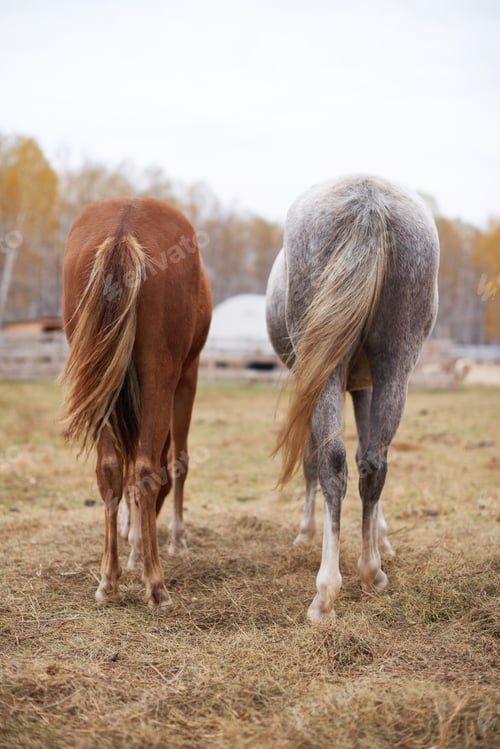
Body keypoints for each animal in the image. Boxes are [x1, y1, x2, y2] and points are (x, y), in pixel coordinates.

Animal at [61, 196, 212, 608]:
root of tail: (123, 227)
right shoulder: (187, 377)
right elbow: (176, 462)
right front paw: (174, 540)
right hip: (162, 373)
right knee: (146, 468)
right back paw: (156, 586)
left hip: (100, 380)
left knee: (111, 469)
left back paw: (109, 580)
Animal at [266, 175, 439, 624]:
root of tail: (368, 197)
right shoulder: (365, 385)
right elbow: (366, 455)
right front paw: (380, 538)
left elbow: (313, 463)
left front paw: (306, 533)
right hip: (395, 364)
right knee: (374, 462)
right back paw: (371, 571)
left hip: (327, 373)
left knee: (331, 462)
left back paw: (326, 591)